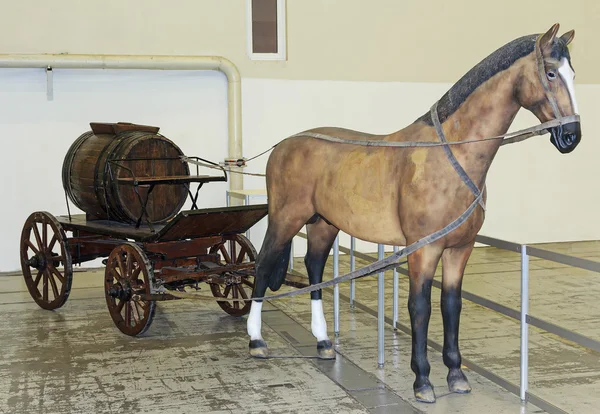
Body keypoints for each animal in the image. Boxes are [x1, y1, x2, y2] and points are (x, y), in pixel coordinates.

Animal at [244, 24, 580, 402]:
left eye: (573, 73)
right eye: (550, 73)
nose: (572, 136)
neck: (451, 156)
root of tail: (284, 145)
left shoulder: (459, 249)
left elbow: (451, 305)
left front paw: (456, 374)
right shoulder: (424, 249)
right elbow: (420, 307)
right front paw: (422, 380)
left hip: (324, 224)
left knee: (315, 269)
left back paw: (323, 341)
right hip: (286, 218)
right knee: (263, 264)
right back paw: (256, 340)